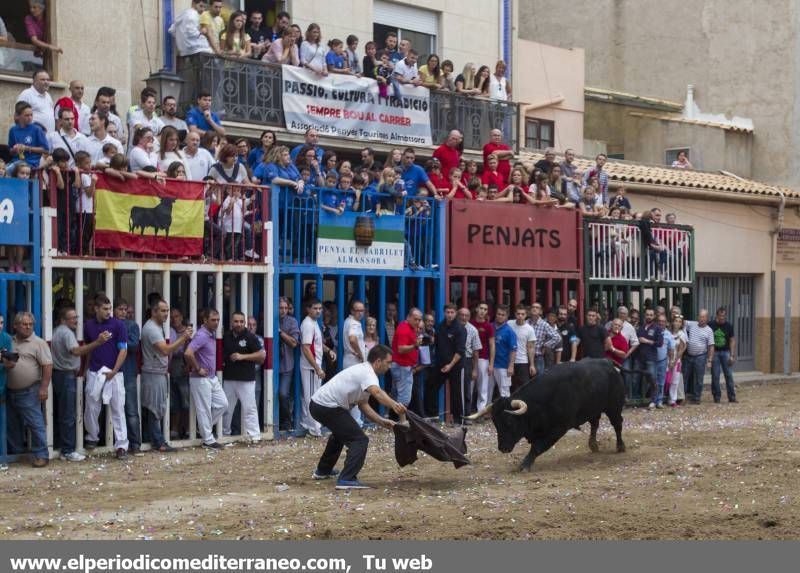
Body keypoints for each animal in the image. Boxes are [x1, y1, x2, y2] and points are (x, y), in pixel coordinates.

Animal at [466, 360, 628, 472]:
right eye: (495, 423)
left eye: (510, 422)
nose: (503, 448)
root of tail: (608, 363)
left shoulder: (557, 430)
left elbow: (537, 447)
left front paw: (524, 465)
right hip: (594, 409)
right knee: (595, 424)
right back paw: (593, 445)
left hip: (614, 407)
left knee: (617, 424)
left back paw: (620, 446)